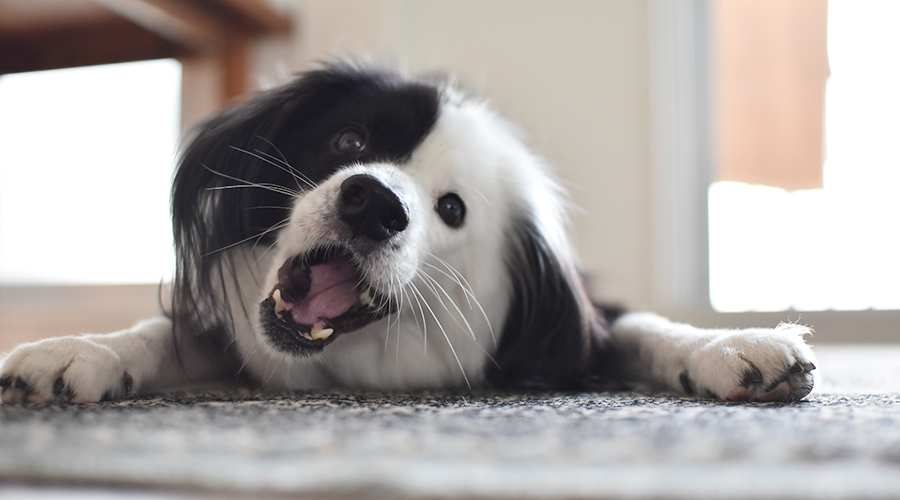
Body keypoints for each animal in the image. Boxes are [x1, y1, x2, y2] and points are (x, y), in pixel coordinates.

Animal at [0, 62, 816, 404]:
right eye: (349, 141)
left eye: (451, 209)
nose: (373, 205)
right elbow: (165, 332)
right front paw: (80, 349)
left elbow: (639, 325)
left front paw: (729, 345)